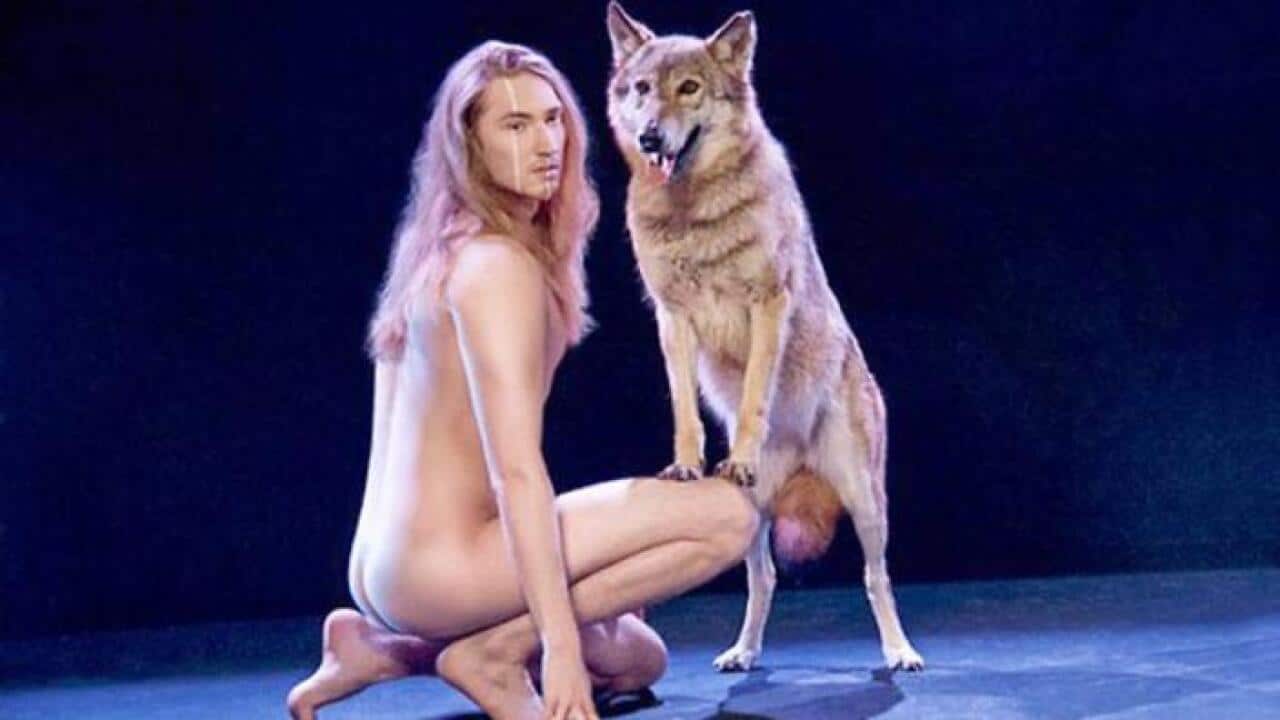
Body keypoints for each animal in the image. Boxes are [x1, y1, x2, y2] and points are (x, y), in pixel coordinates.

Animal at [605, 4, 924, 672]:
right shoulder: (671, 317)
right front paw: (686, 464)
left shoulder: (766, 305)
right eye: (642, 89)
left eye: (689, 88)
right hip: (748, 521)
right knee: (765, 578)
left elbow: (755, 393)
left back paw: (900, 651)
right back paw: (742, 651)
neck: (693, 212)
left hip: (866, 503)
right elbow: (684, 408)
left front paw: (743, 454)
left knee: (876, 578)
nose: (649, 138)